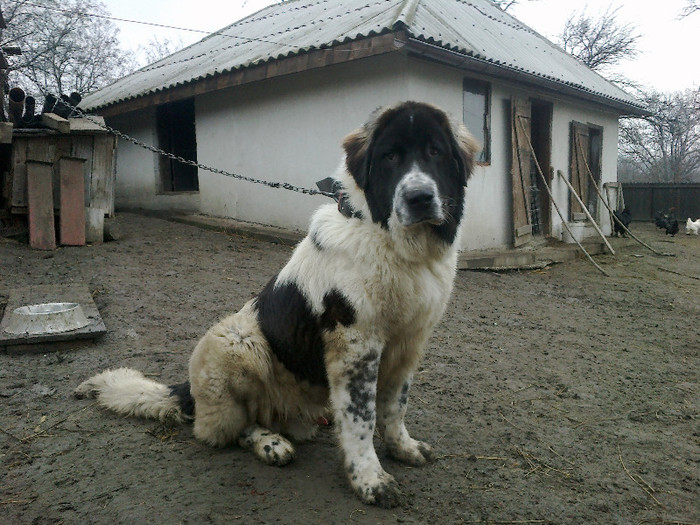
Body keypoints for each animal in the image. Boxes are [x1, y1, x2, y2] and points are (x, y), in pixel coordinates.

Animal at [76, 101, 478, 508]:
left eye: (435, 152)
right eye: (391, 156)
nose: (419, 198)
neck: (394, 245)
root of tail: (187, 392)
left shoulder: (410, 343)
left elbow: (395, 405)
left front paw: (402, 447)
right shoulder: (356, 347)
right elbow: (361, 419)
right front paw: (369, 479)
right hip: (233, 340)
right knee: (226, 428)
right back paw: (270, 443)